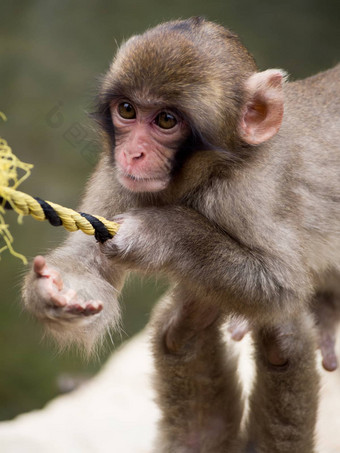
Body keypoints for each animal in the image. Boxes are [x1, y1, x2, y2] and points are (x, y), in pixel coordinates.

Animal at [22, 16, 338, 448]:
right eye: (127, 110)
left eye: (166, 120)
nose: (132, 153)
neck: (206, 174)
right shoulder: (115, 176)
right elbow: (89, 272)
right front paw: (55, 291)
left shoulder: (251, 190)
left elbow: (279, 285)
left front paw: (158, 235)